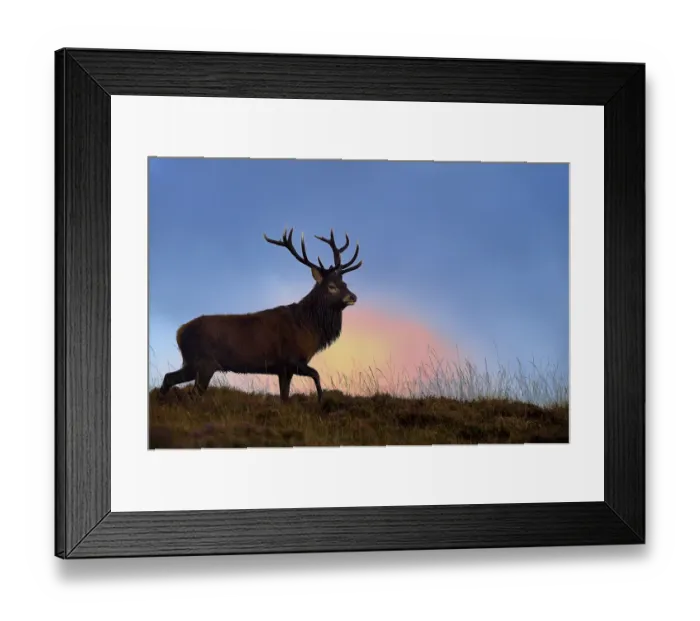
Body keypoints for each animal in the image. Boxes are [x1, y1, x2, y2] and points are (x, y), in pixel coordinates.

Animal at [158, 228, 363, 402]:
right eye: (331, 286)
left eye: (345, 283)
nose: (353, 297)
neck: (309, 327)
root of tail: (179, 332)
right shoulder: (292, 359)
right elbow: (316, 375)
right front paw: (320, 401)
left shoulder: (283, 369)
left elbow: (285, 397)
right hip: (203, 362)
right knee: (191, 393)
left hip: (192, 363)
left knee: (169, 378)